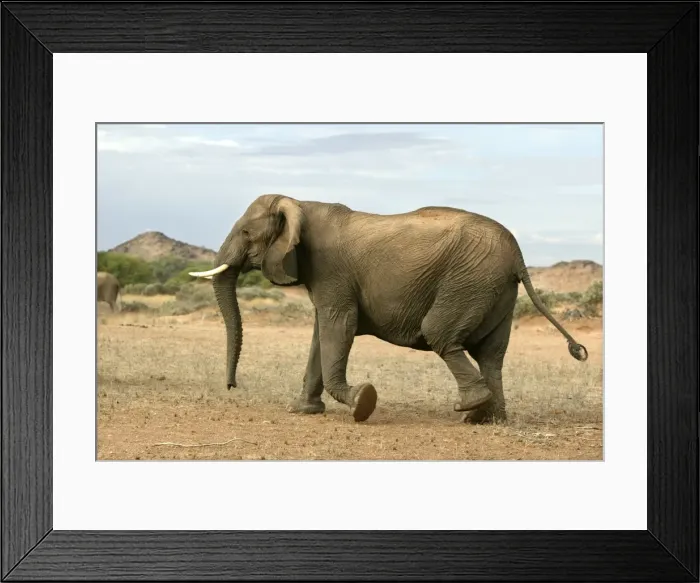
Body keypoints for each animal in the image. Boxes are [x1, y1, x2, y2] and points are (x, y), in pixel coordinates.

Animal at [189, 194, 588, 424]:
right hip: (495, 290)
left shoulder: (332, 271)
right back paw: (486, 420)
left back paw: (469, 408)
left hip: (469, 280)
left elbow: (338, 326)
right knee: (491, 354)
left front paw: (361, 403)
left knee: (441, 334)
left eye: (245, 233)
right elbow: (321, 333)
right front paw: (302, 412)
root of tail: (518, 255)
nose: (232, 386)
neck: (301, 203)